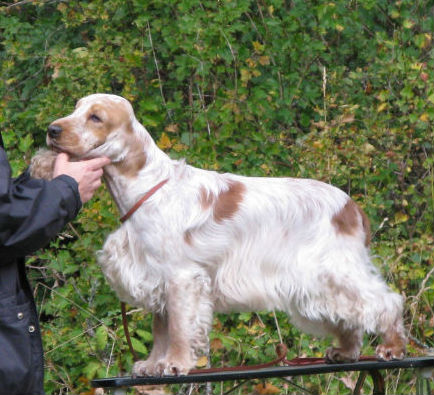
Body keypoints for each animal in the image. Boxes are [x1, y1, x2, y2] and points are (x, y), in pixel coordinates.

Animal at [31, 93, 406, 378]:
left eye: (95, 117)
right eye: (75, 109)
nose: (52, 130)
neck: (145, 188)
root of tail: (351, 206)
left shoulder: (182, 278)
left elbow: (178, 328)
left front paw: (175, 363)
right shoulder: (157, 277)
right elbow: (160, 329)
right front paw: (152, 364)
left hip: (332, 270)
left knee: (383, 301)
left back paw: (391, 347)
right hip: (319, 283)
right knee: (351, 316)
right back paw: (346, 352)